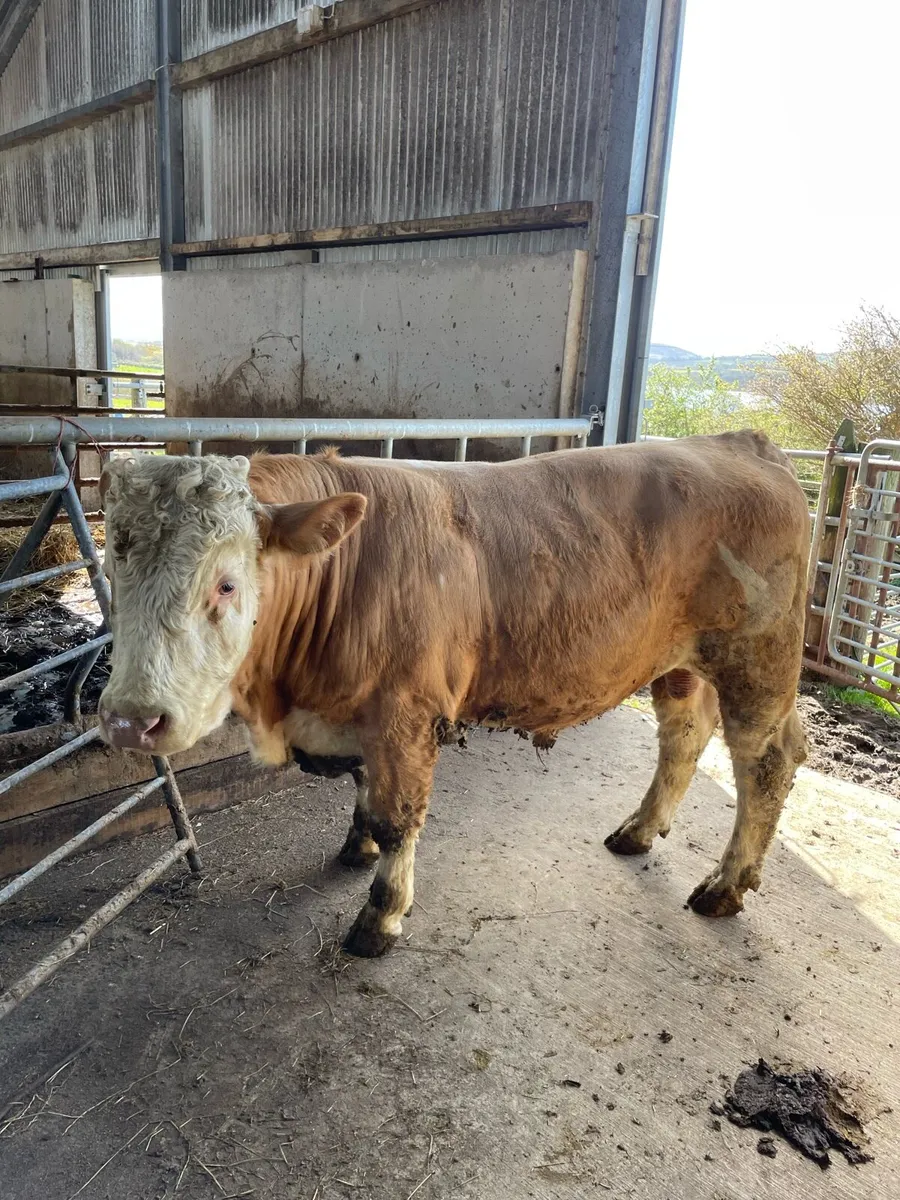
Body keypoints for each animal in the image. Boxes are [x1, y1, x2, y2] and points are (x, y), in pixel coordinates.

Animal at [97, 432, 810, 957]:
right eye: (111, 566)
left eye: (225, 583)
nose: (132, 721)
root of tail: (741, 442)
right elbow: (365, 789)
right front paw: (356, 847)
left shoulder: (405, 714)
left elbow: (398, 813)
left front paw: (380, 917)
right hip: (681, 663)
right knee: (684, 736)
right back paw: (638, 831)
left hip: (760, 660)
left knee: (767, 761)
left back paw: (724, 885)